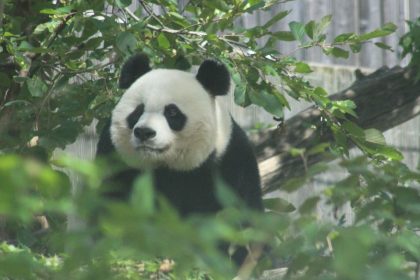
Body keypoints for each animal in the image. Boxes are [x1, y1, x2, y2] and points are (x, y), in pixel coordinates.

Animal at [97, 53, 264, 266]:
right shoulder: (114, 157)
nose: (144, 132)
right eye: (138, 111)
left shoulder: (230, 158)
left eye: (172, 112)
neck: (167, 165)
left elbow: (240, 217)